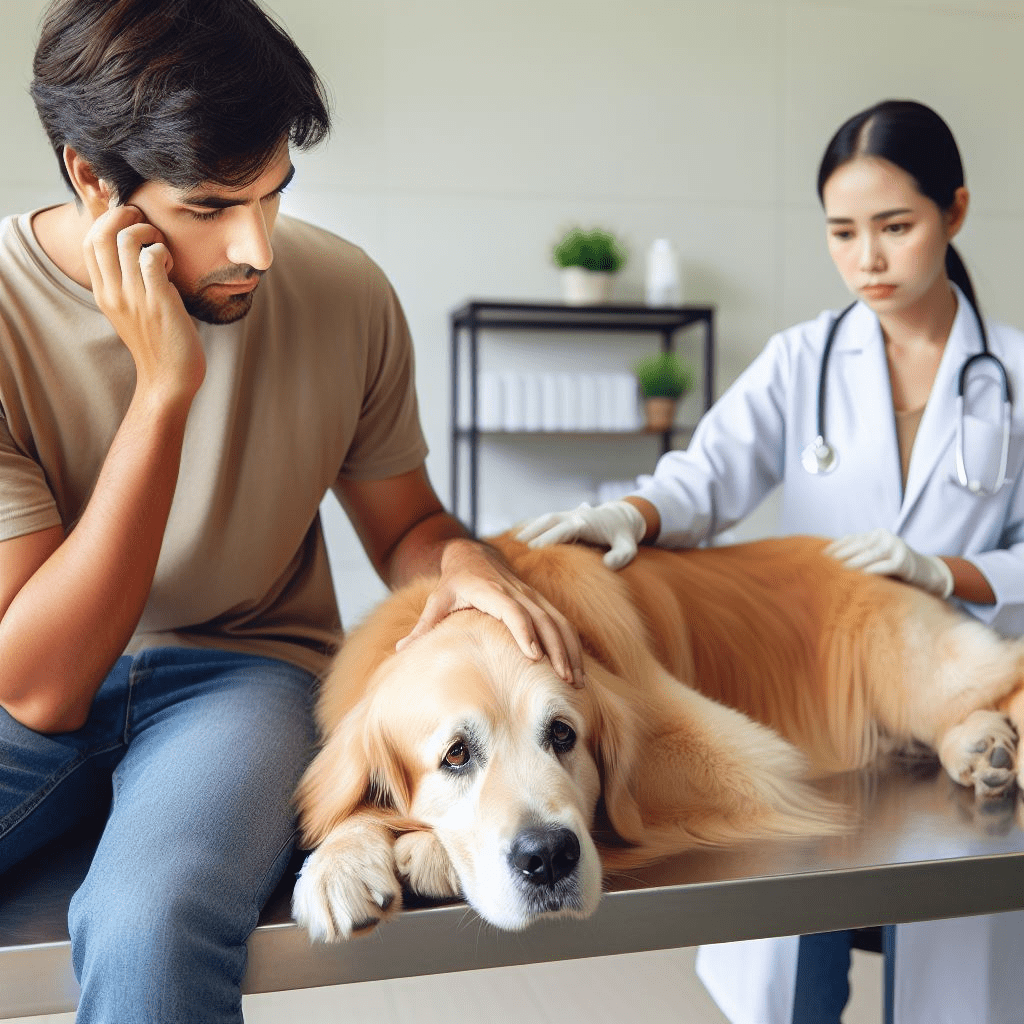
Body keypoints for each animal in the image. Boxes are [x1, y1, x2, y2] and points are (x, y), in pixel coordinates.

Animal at [292, 540, 1024, 937]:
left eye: (563, 734)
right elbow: (349, 805)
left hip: (918, 668)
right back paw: (981, 747)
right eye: (456, 755)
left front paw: (426, 852)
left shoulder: (746, 762)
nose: (549, 859)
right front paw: (341, 864)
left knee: (1003, 669)